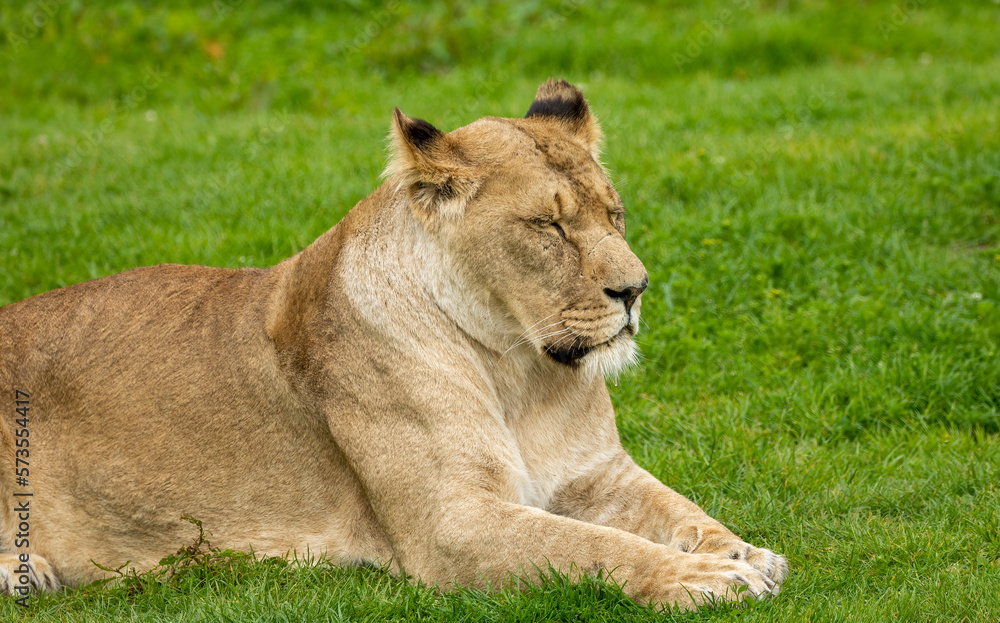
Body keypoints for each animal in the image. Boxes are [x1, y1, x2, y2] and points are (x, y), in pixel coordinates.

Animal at [0, 80, 786, 609]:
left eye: (614, 214)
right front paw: (704, 577)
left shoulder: (597, 473)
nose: (635, 289)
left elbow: (677, 511)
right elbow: (593, 545)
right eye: (549, 226)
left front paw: (742, 550)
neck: (518, 368)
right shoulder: (451, 523)